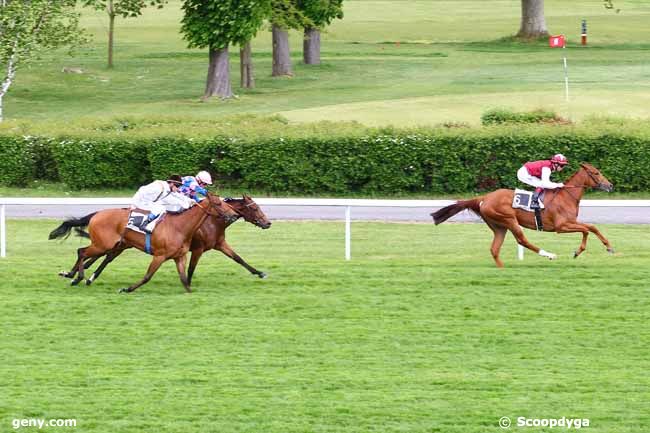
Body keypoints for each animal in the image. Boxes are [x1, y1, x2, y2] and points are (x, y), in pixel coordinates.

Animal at [57, 195, 270, 284]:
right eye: (254, 208)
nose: (267, 223)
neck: (211, 221)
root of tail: (98, 213)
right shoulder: (198, 249)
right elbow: (191, 268)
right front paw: (187, 282)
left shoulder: (220, 244)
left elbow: (239, 259)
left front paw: (259, 273)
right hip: (109, 243)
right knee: (87, 254)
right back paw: (76, 276)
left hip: (119, 244)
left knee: (100, 257)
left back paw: (79, 275)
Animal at [430, 163, 612, 266]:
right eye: (596, 173)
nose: (610, 185)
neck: (566, 196)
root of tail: (484, 198)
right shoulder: (561, 226)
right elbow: (586, 230)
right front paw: (577, 251)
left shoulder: (571, 222)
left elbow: (592, 227)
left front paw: (609, 247)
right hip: (509, 220)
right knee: (522, 240)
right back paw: (549, 255)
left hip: (499, 227)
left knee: (494, 249)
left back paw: (502, 268)